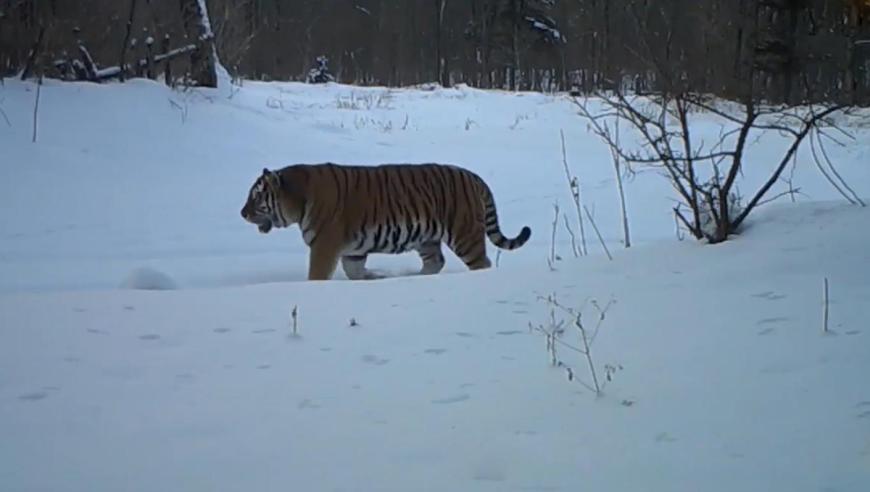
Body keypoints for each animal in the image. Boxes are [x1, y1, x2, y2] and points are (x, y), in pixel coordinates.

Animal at [242, 162, 536, 280]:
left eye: (256, 196)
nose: (242, 213)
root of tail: (474, 176)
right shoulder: (352, 250)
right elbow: (354, 271)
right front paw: (374, 277)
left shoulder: (324, 246)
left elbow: (316, 276)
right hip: (427, 238)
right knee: (435, 262)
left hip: (464, 235)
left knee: (481, 264)